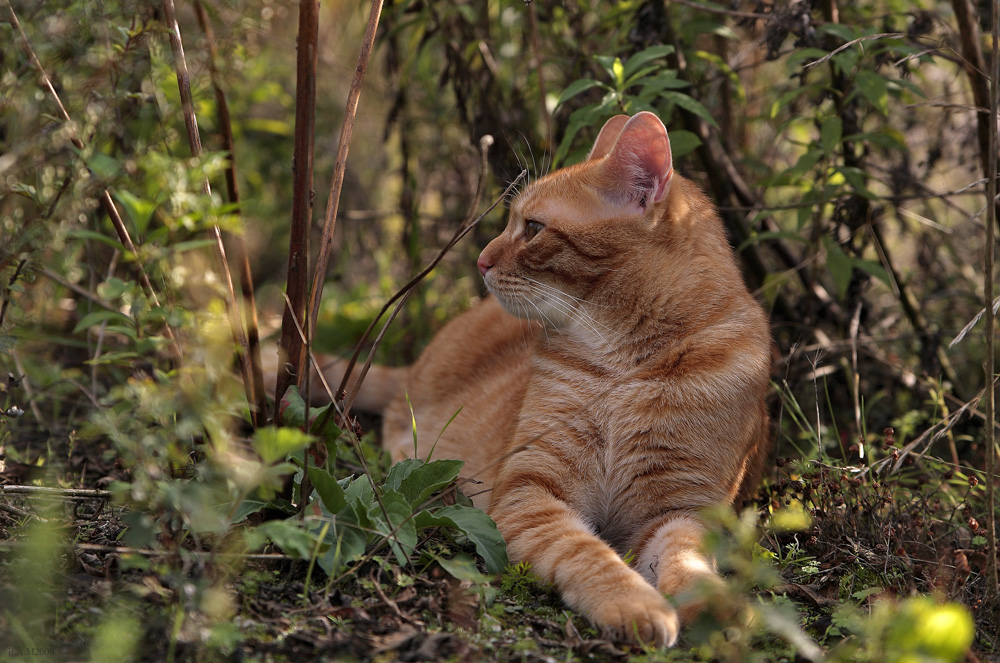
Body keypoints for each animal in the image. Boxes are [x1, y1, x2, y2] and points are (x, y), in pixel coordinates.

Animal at [314, 111, 772, 644]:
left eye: (532, 228)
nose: (481, 260)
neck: (625, 368)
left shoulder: (680, 511)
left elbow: (688, 562)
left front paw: (719, 610)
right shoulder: (530, 491)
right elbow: (585, 552)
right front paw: (634, 603)